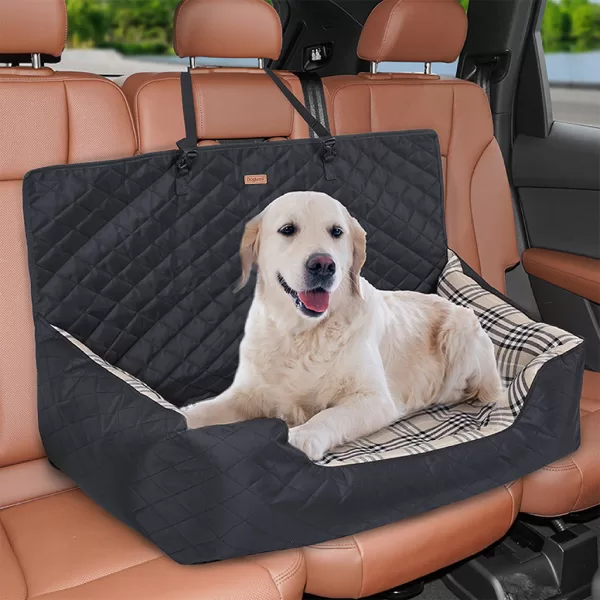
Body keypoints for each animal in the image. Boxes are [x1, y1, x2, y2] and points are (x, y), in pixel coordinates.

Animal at [184, 192, 506, 460]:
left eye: (336, 231)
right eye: (288, 229)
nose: (323, 265)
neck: (302, 334)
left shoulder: (375, 400)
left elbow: (328, 416)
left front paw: (304, 435)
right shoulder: (248, 394)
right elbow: (204, 411)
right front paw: (181, 418)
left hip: (460, 330)